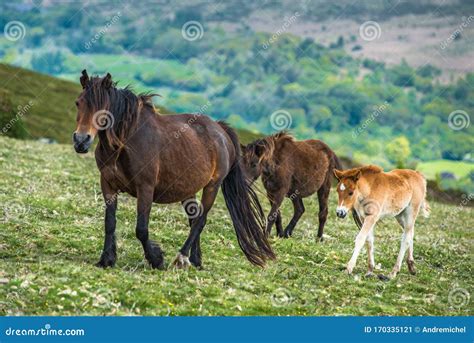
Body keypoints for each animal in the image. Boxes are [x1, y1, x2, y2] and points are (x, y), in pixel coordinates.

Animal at [72, 71, 276, 270]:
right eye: (78, 102)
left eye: (104, 107)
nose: (81, 141)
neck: (125, 142)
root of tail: (220, 130)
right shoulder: (107, 185)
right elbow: (109, 223)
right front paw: (106, 259)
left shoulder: (145, 188)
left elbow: (141, 229)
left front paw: (156, 259)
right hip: (188, 189)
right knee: (194, 219)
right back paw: (195, 260)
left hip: (212, 186)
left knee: (200, 221)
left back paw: (182, 258)